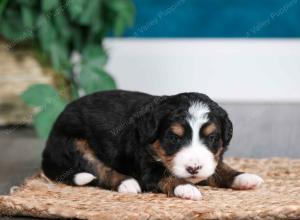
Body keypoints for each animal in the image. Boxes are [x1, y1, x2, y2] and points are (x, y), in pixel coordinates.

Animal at [41, 90, 262, 200]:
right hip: (76, 143)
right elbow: (166, 175)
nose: (193, 168)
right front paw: (186, 188)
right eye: (173, 138)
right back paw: (127, 183)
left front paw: (243, 177)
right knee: (100, 170)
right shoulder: (147, 168)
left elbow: (219, 167)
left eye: (212, 137)